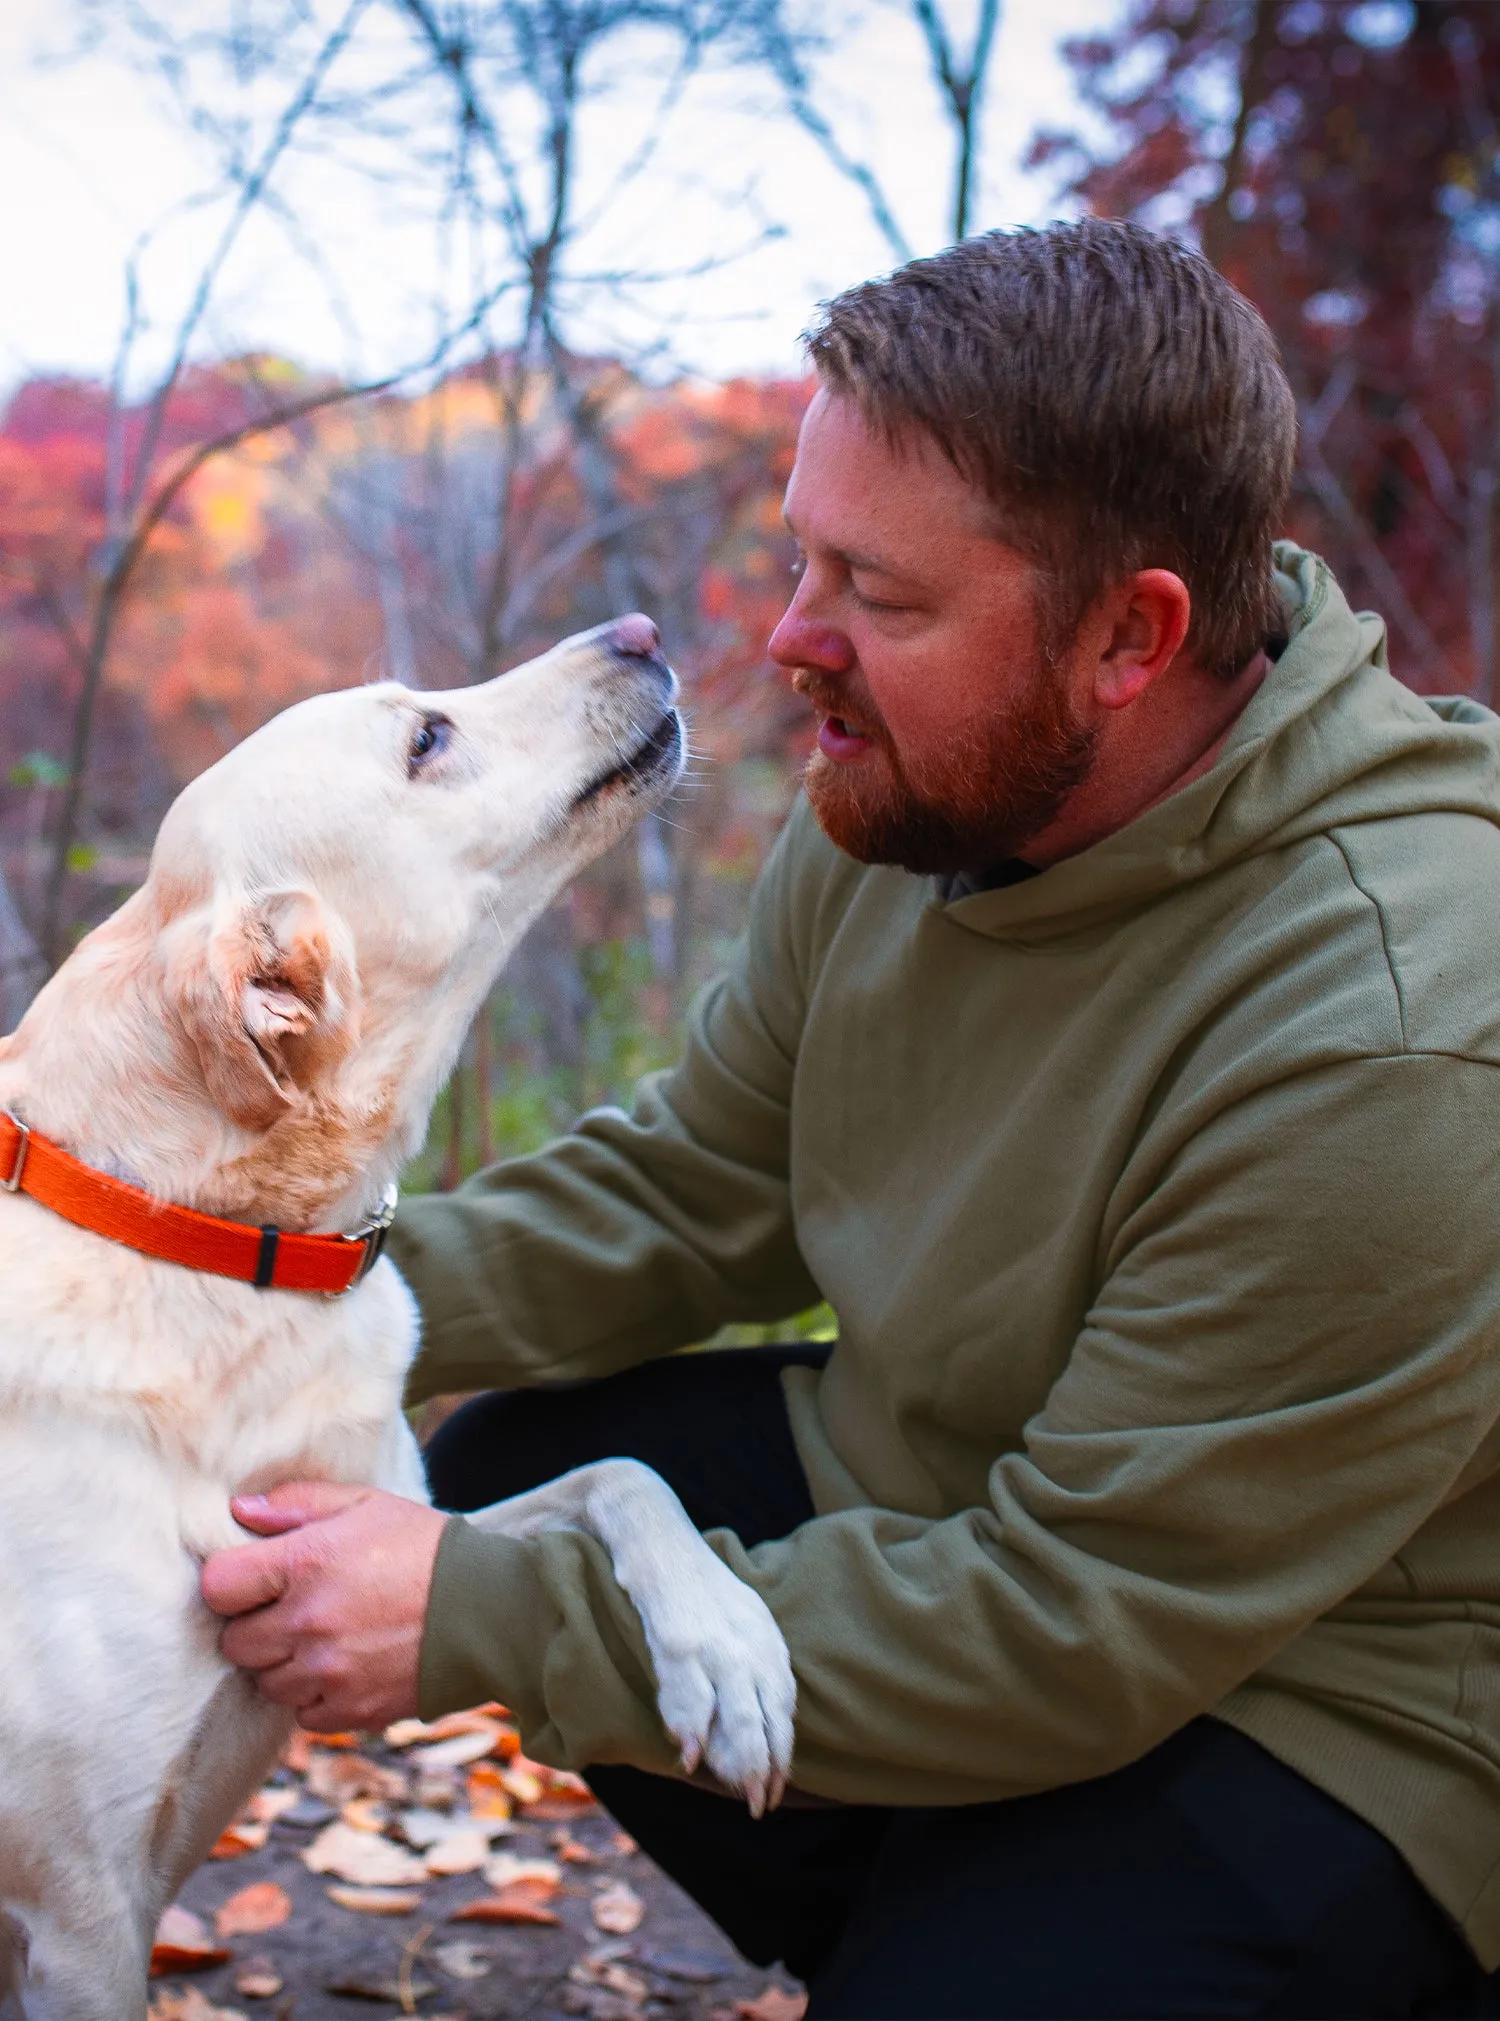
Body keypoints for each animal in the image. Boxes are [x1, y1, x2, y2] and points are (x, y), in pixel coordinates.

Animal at [0, 618, 800, 2020]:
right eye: (427, 737)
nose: (640, 631)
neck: (218, 1253)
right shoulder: (80, 1918)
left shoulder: (395, 1527)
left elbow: (622, 1471)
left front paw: (731, 1647)